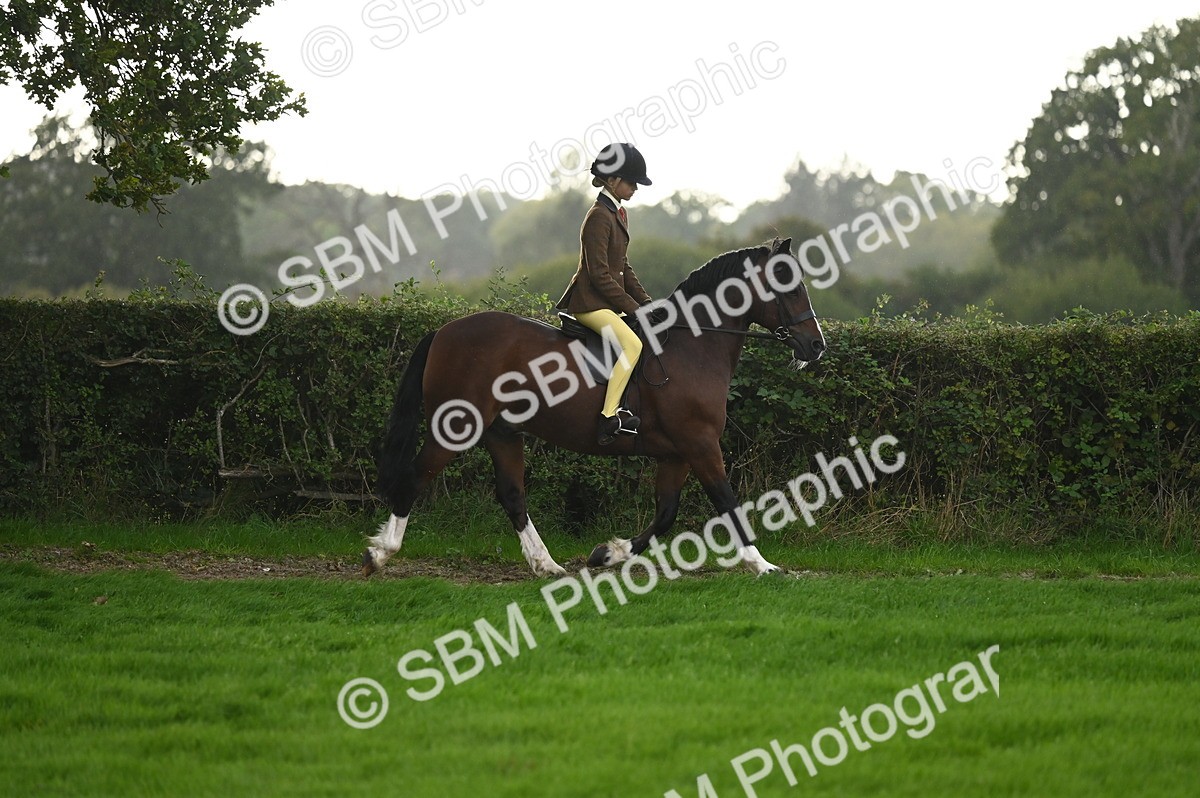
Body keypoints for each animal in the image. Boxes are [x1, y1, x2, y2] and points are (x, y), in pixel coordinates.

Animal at [362, 237, 825, 578]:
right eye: (789, 285)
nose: (816, 346)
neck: (692, 347)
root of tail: (444, 331)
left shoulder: (677, 453)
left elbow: (666, 513)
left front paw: (608, 553)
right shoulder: (700, 444)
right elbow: (727, 502)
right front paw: (762, 565)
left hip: (502, 432)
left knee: (512, 495)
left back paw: (546, 564)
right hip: (458, 427)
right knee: (416, 477)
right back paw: (381, 553)